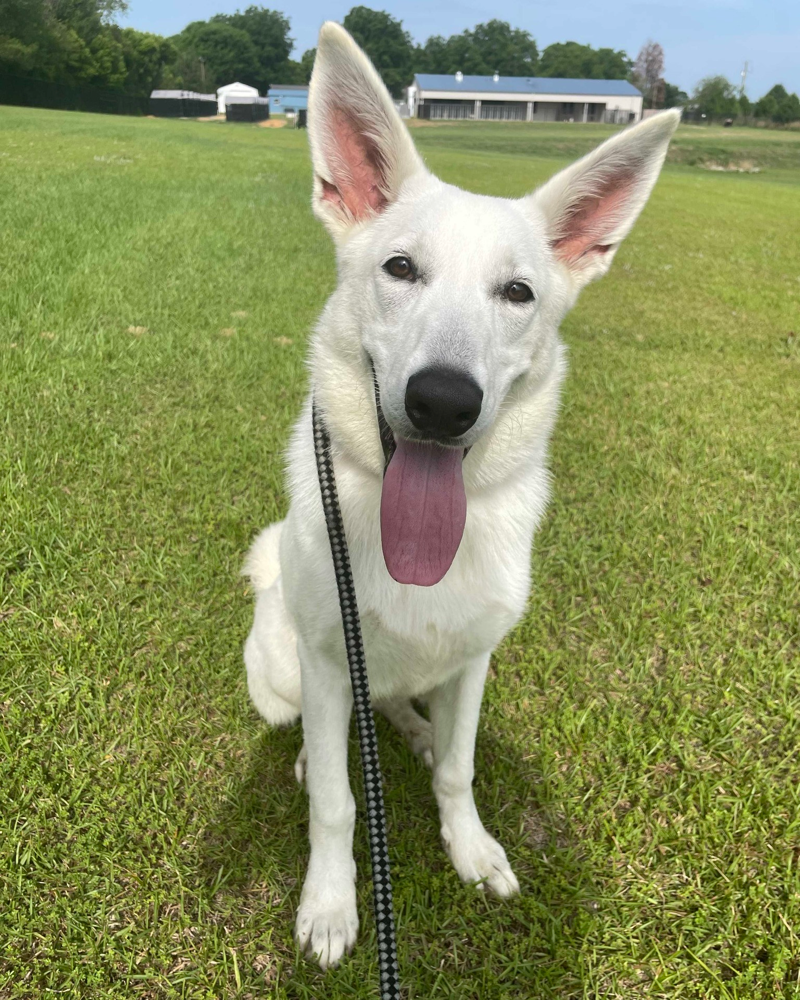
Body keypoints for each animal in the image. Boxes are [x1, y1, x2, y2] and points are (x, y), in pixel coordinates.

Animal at [244, 23, 680, 972]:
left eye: (517, 293)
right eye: (401, 268)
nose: (443, 402)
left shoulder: (475, 662)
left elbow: (458, 767)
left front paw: (470, 848)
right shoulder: (330, 666)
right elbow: (337, 800)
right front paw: (330, 903)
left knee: (404, 717)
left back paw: (409, 730)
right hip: (286, 670)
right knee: (323, 739)